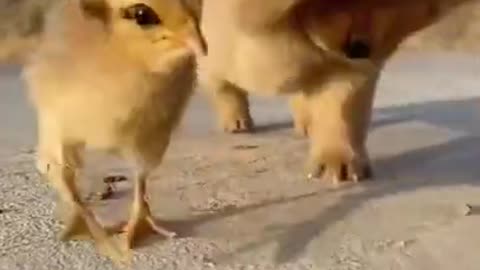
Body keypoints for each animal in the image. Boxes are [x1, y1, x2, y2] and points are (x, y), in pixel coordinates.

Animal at [23, 0, 206, 264]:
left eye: (200, 5)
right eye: (141, 14)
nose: (200, 44)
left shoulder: (150, 138)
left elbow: (140, 179)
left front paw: (137, 227)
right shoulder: (55, 124)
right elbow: (66, 182)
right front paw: (104, 243)